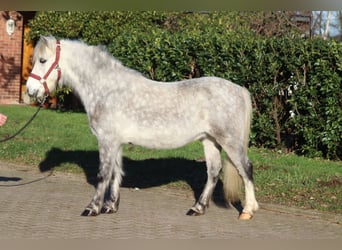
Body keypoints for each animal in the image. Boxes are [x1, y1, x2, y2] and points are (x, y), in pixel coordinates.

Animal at [26, 36, 258, 220]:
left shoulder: (106, 140)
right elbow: (116, 172)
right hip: (209, 140)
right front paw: (111, 206)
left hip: (229, 141)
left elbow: (103, 174)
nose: (30, 90)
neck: (107, 89)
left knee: (246, 169)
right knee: (213, 172)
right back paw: (197, 208)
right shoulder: (115, 143)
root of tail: (239, 90)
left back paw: (247, 210)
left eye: (43, 60)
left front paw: (92, 208)